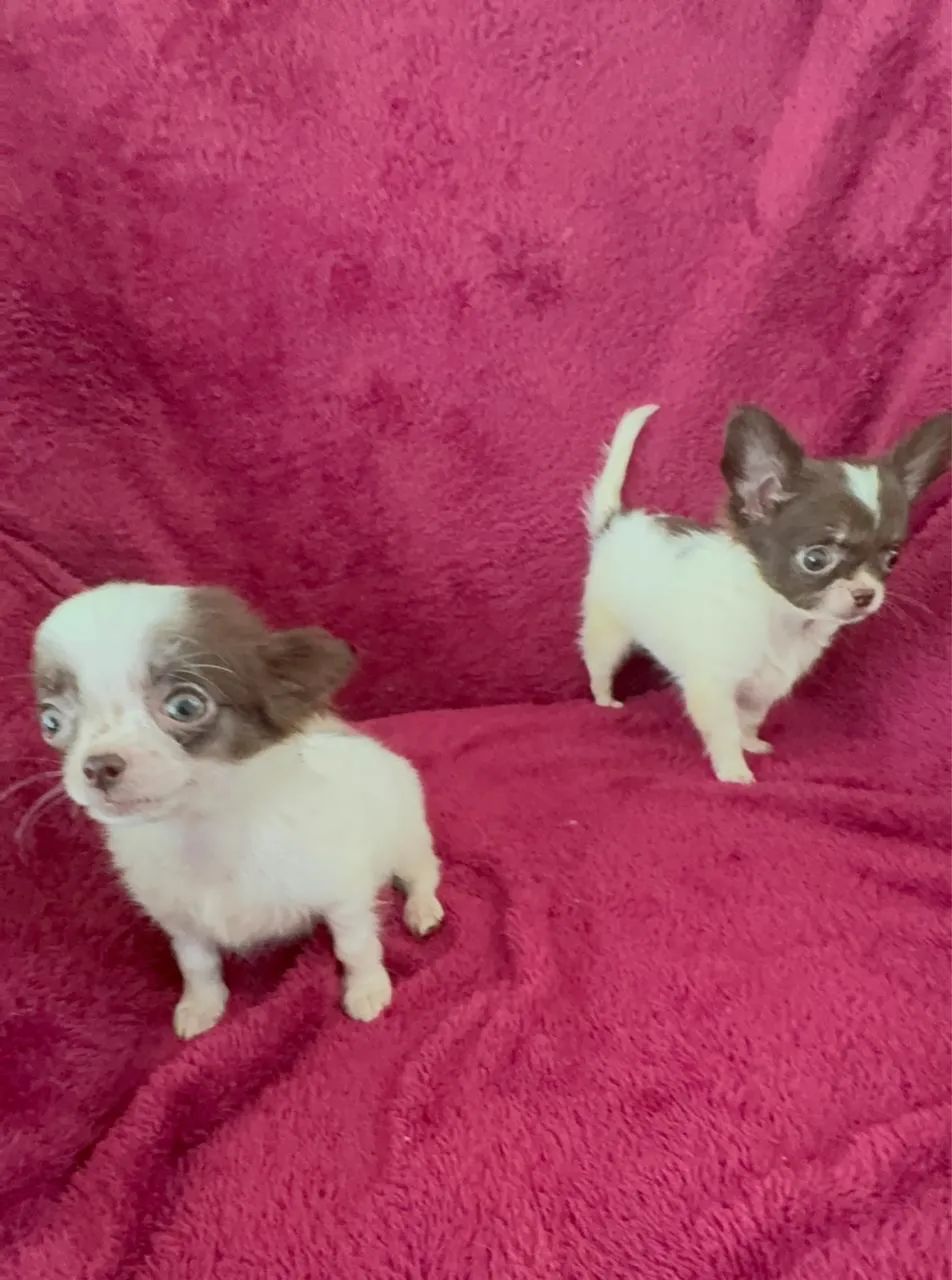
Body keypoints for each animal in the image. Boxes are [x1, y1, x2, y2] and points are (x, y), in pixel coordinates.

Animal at [32, 583, 444, 1038]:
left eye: (185, 707)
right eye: (51, 722)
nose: (97, 766)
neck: (203, 828)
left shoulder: (345, 895)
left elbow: (355, 946)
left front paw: (367, 989)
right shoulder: (180, 920)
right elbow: (197, 965)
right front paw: (202, 1006)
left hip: (407, 835)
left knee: (424, 871)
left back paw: (422, 909)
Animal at [581, 404, 951, 783]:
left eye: (892, 558)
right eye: (815, 559)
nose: (866, 594)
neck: (781, 620)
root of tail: (615, 522)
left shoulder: (765, 686)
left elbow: (749, 719)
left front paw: (750, 744)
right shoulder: (714, 685)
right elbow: (724, 730)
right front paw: (734, 771)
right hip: (607, 630)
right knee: (599, 665)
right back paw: (605, 700)